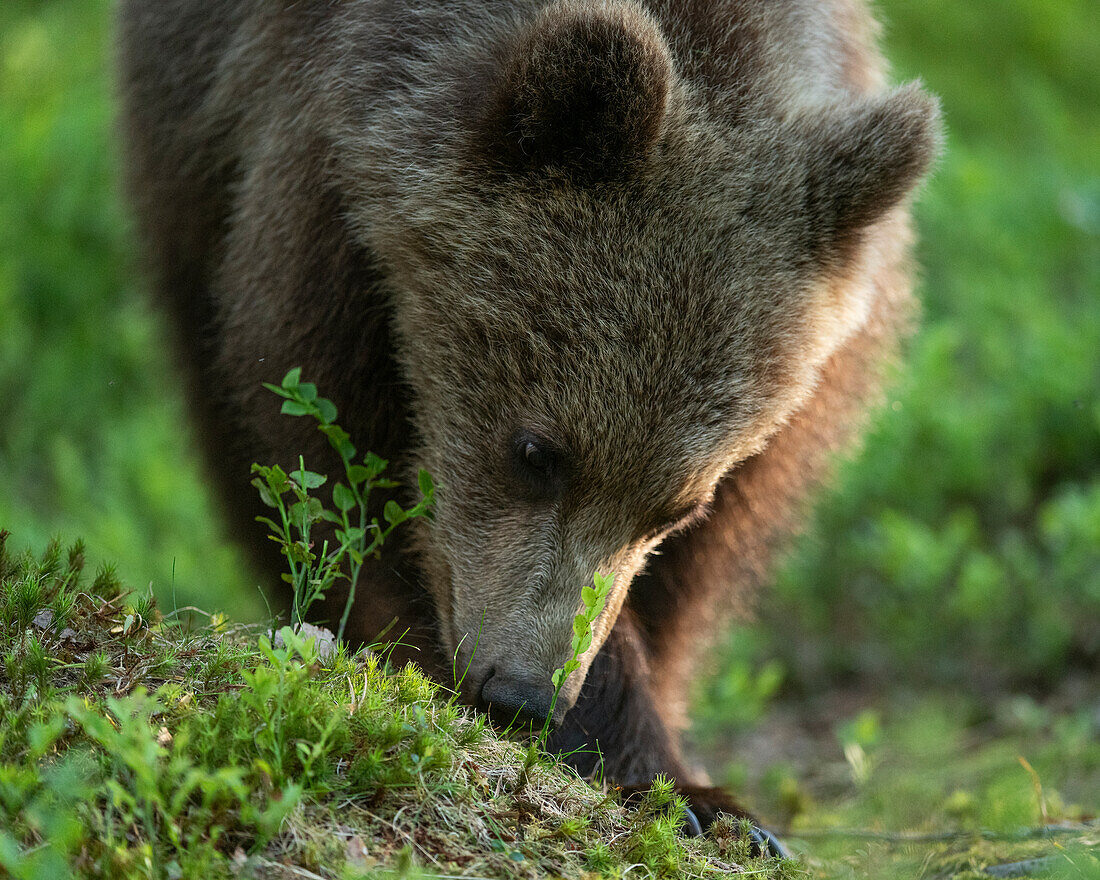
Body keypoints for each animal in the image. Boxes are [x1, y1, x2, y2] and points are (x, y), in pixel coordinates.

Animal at [120, 0, 941, 849]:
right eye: (537, 450)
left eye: (679, 505)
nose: (522, 693)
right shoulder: (311, 183)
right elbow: (329, 452)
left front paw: (695, 793)